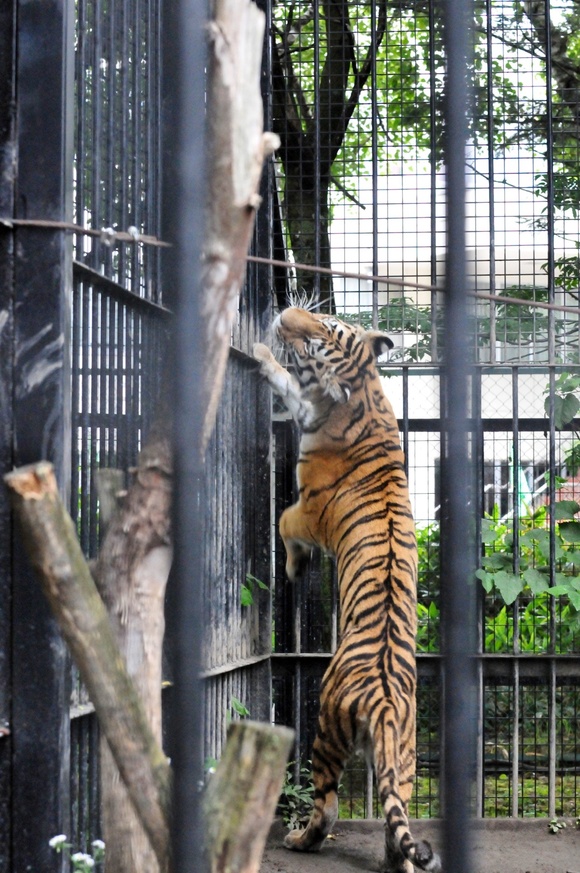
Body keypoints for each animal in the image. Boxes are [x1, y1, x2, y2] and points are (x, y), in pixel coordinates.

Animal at [254, 308, 440, 872]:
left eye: (319, 338)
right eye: (329, 318)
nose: (285, 314)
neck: (363, 392)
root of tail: (383, 703)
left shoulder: (307, 510)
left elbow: (283, 523)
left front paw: (294, 569)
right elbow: (288, 385)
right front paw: (263, 351)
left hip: (325, 729)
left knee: (328, 805)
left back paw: (299, 840)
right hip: (402, 757)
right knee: (396, 816)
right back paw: (398, 862)